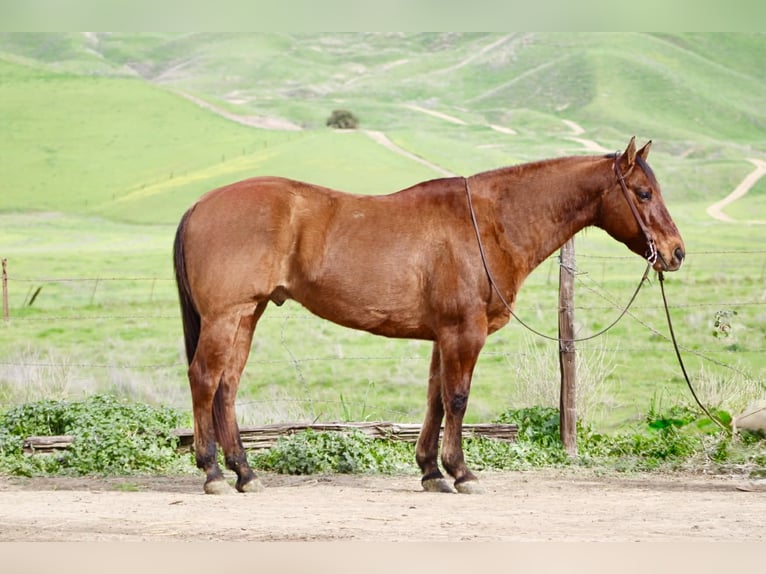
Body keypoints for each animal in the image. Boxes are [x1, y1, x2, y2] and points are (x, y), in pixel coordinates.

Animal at [173, 137, 685, 495]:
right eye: (643, 193)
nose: (676, 252)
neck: (489, 223)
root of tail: (199, 204)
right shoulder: (464, 333)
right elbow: (457, 399)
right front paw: (461, 472)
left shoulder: (444, 335)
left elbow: (436, 400)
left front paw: (431, 471)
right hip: (225, 317)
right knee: (205, 379)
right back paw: (214, 472)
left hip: (247, 315)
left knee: (226, 387)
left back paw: (245, 472)